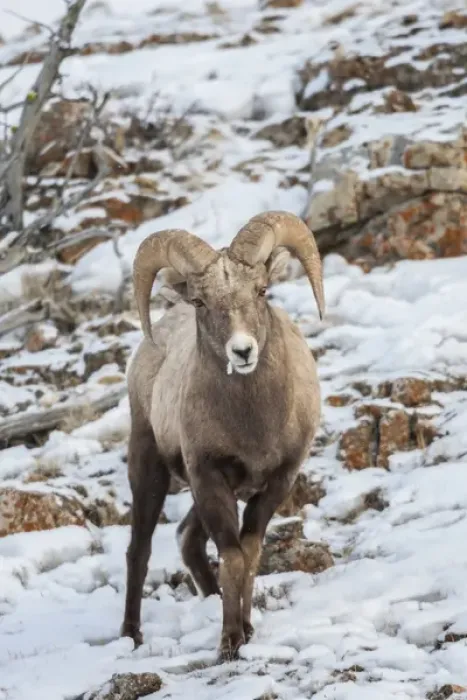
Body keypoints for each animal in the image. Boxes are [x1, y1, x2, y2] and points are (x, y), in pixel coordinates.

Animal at [121, 210, 325, 661]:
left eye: (262, 290)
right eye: (201, 301)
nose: (242, 351)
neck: (254, 425)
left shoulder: (275, 483)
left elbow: (249, 553)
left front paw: (245, 629)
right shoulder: (210, 479)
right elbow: (232, 557)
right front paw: (230, 642)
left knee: (186, 539)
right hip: (150, 469)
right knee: (139, 550)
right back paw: (130, 636)